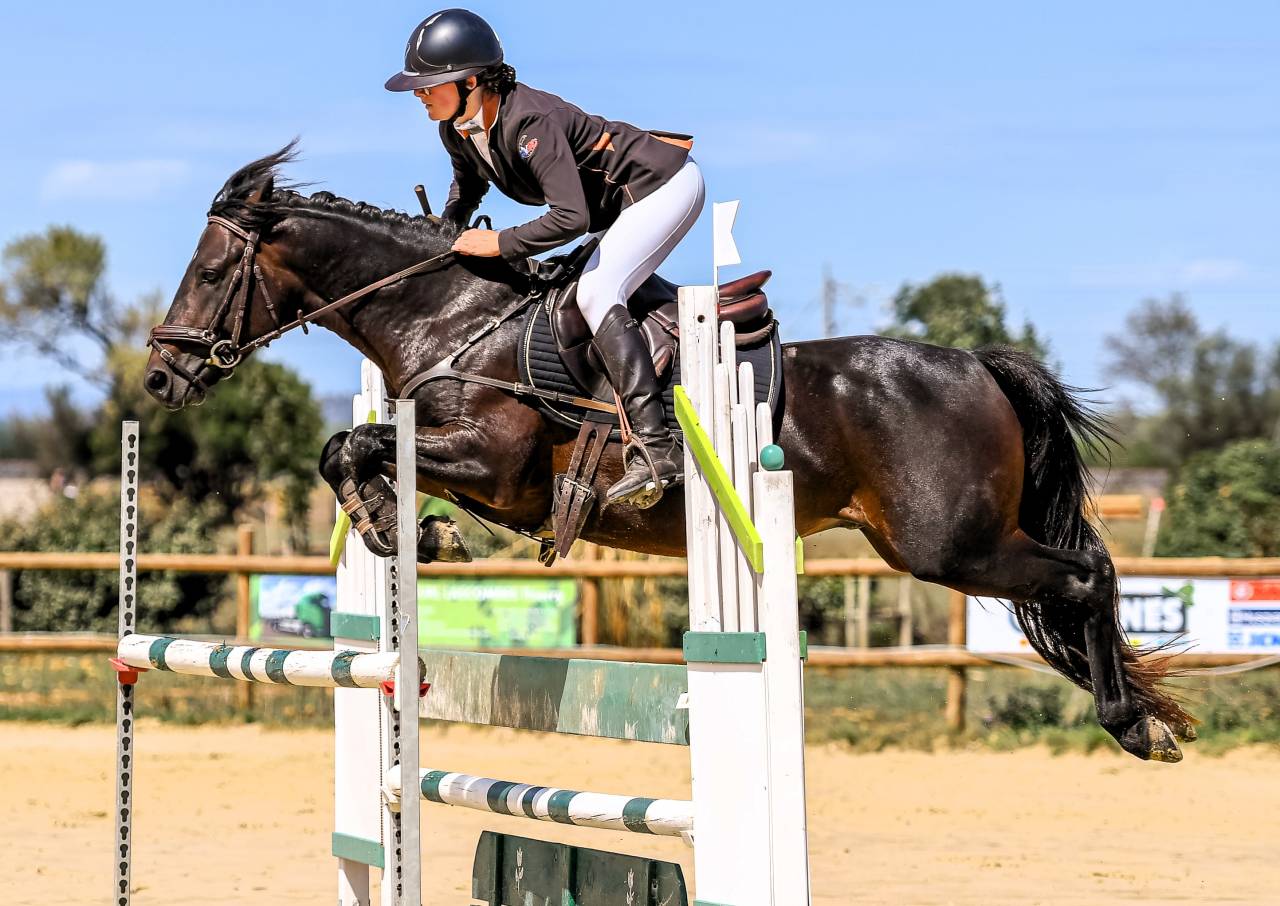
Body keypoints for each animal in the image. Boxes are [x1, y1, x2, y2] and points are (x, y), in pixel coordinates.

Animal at [144, 146, 1193, 762]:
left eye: (209, 269)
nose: (160, 377)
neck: (450, 315)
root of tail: (978, 364)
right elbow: (351, 450)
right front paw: (406, 529)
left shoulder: (497, 467)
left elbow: (349, 442)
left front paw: (411, 530)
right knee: (1084, 577)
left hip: (952, 546)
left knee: (1091, 575)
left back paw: (1132, 724)